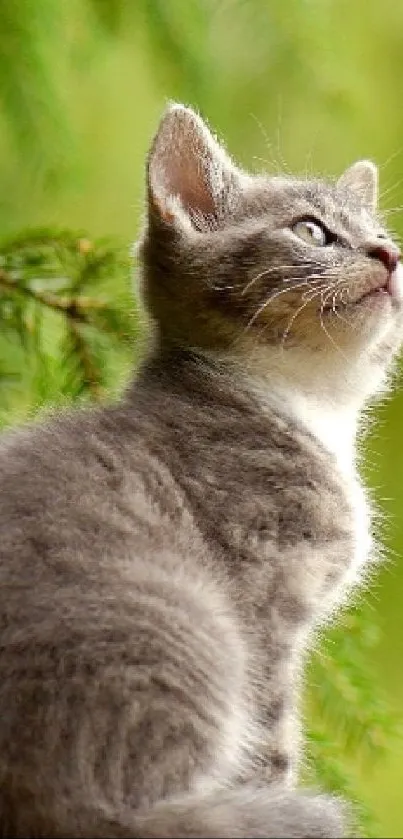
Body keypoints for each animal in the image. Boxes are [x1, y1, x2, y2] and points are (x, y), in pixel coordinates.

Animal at [0, 106, 403, 839]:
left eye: (383, 236)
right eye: (311, 230)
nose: (388, 256)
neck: (306, 406)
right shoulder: (265, 601)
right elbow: (271, 740)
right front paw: (275, 792)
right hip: (187, 624)